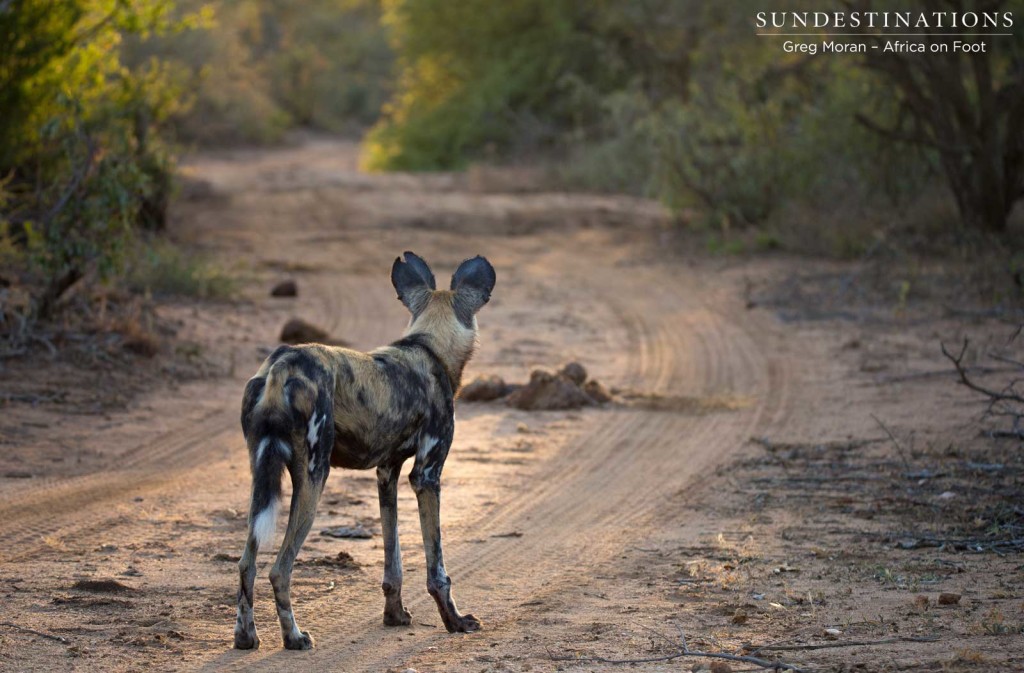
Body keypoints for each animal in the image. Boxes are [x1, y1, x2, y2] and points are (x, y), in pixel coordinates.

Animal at [233, 250, 495, 647]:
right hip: (313, 477)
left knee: (246, 562)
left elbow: (393, 562)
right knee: (279, 569)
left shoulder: (387, 474)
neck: (429, 346)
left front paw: (395, 616)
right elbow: (437, 569)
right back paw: (294, 637)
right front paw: (455, 620)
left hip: (262, 477)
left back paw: (246, 637)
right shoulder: (427, 475)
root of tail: (282, 364)